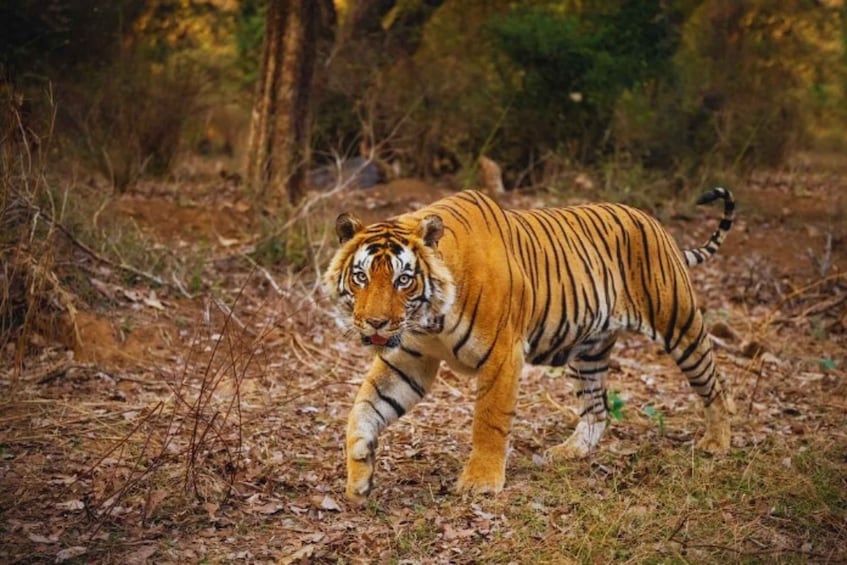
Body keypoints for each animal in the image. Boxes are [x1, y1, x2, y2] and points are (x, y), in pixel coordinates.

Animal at [323, 188, 736, 501]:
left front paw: (480, 482)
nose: (376, 323)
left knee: (714, 383)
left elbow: (488, 420)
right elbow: (365, 408)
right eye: (361, 277)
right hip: (588, 351)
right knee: (597, 408)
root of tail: (655, 223)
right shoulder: (409, 359)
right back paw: (569, 452)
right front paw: (360, 471)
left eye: (403, 280)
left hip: (678, 322)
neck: (430, 320)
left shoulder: (502, 355)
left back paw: (718, 442)